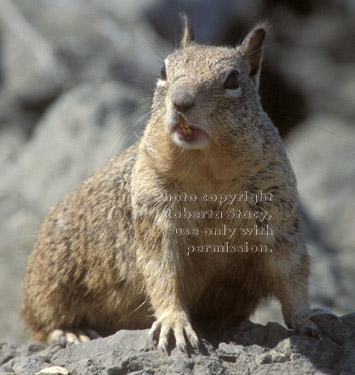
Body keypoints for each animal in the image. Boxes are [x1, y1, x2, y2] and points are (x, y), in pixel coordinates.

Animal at [20, 16, 324, 354]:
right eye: (163, 70)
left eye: (233, 79)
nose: (181, 101)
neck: (208, 170)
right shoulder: (155, 213)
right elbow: (162, 274)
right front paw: (174, 323)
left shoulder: (276, 211)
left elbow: (292, 271)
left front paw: (306, 319)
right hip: (51, 281)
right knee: (39, 325)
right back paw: (70, 332)